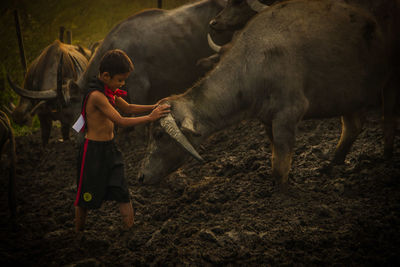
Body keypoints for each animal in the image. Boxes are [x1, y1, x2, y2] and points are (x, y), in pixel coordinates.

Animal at [139, 0, 396, 191]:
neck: (254, 64)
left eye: (159, 134)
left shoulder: (287, 115)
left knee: (388, 119)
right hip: (348, 93)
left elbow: (279, 166)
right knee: (353, 125)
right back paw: (332, 164)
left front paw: (281, 191)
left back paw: (387, 158)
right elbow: (276, 157)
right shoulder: (267, 120)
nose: (141, 176)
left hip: (390, 81)